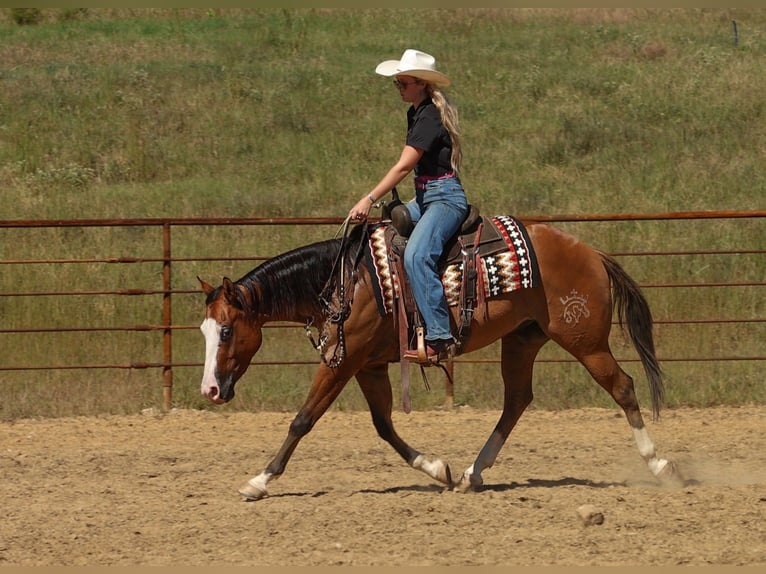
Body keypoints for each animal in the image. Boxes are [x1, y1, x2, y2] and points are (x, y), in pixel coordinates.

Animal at [198, 218, 683, 501]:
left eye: (226, 330)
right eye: (203, 330)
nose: (211, 390)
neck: (348, 279)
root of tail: (591, 253)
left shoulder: (345, 360)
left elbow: (303, 419)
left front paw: (260, 481)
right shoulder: (369, 365)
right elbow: (383, 425)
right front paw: (436, 468)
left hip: (584, 340)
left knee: (622, 387)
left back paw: (660, 465)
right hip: (523, 340)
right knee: (517, 400)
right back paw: (472, 473)